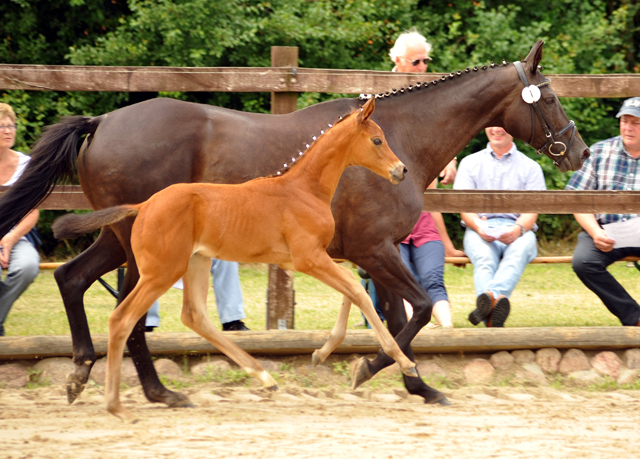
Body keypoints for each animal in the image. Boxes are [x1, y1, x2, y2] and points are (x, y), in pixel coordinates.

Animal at [53, 98, 416, 424]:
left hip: (195, 263)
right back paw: (118, 405)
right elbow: (356, 289)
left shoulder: (300, 261)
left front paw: (322, 352)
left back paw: (262, 378)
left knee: (193, 315)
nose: (401, 170)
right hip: (161, 271)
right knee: (123, 319)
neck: (303, 188)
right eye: (377, 139)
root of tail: (143, 206)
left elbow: (350, 289)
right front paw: (403, 362)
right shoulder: (308, 258)